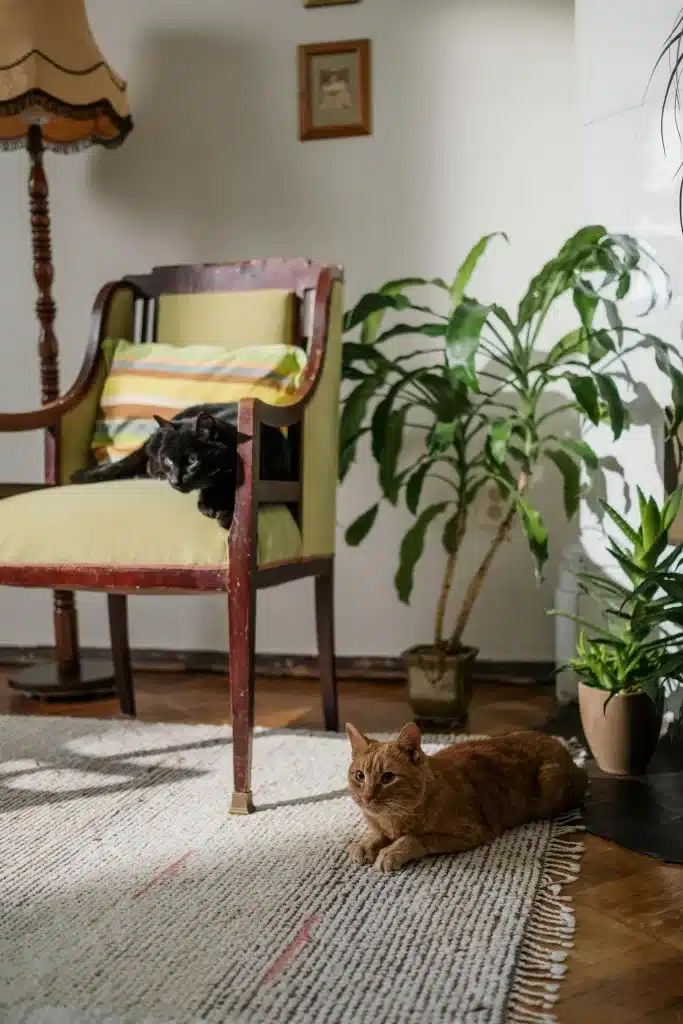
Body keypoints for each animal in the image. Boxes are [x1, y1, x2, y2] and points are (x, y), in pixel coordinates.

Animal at [72, 401, 296, 528]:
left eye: (192, 460)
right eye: (169, 460)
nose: (175, 480)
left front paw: (225, 514)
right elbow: (203, 502)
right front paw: (211, 507)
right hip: (152, 445)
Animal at [348, 720, 589, 872]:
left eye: (388, 777)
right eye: (360, 776)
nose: (366, 797)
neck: (392, 819)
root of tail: (561, 746)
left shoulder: (470, 832)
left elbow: (417, 837)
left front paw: (392, 851)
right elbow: (377, 835)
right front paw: (367, 844)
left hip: (551, 786)